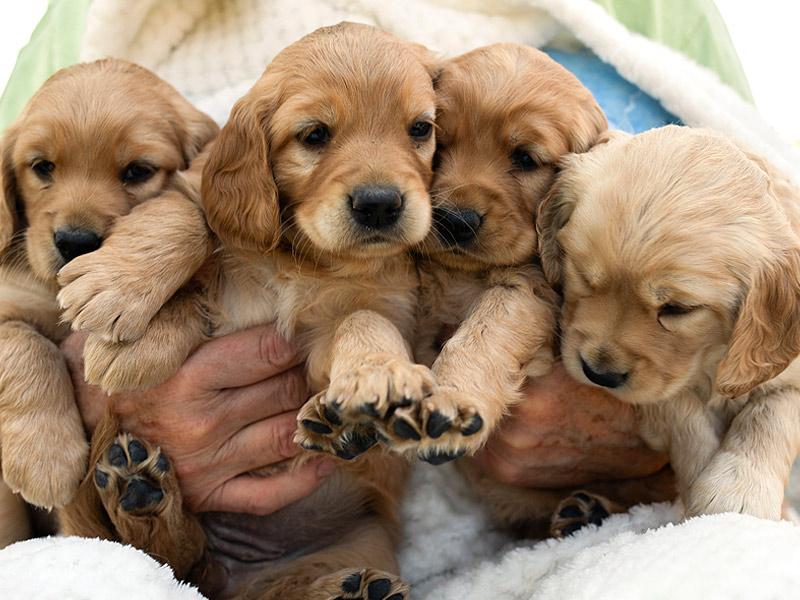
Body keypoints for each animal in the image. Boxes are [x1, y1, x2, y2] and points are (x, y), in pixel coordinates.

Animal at [0, 56, 219, 508]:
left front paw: (138, 335)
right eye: (42, 166)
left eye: (137, 171)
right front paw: (44, 454)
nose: (75, 242)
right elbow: (24, 343)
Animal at [59, 23, 440, 600]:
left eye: (420, 129)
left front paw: (377, 377)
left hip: (357, 539)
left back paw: (350, 588)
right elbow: (184, 221)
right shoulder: (197, 193)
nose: (379, 204)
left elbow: (362, 320)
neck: (303, 257)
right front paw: (122, 305)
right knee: (172, 558)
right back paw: (140, 492)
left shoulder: (369, 311)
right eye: (314, 135)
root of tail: (228, 570)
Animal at [354, 44, 608, 464]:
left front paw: (449, 401)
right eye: (439, 143)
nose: (456, 220)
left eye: (525, 158)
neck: (462, 272)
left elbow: (482, 334)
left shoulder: (530, 288)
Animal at [536, 124, 800, 524]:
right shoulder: (663, 391)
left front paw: (740, 490)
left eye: (678, 308)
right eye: (582, 274)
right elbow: (683, 414)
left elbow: (772, 416)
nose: (599, 374)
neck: (710, 358)